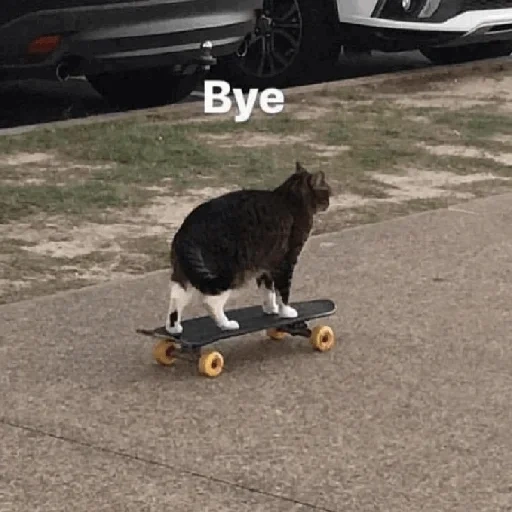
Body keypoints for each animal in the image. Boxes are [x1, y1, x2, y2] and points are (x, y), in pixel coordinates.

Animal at [164, 162, 332, 334]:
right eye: (327, 191)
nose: (329, 203)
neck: (290, 197)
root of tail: (187, 229)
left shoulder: (266, 264)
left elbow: (268, 291)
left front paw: (271, 309)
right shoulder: (286, 261)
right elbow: (283, 291)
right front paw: (286, 312)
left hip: (186, 273)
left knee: (176, 297)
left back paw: (173, 329)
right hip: (227, 273)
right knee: (210, 301)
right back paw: (226, 324)